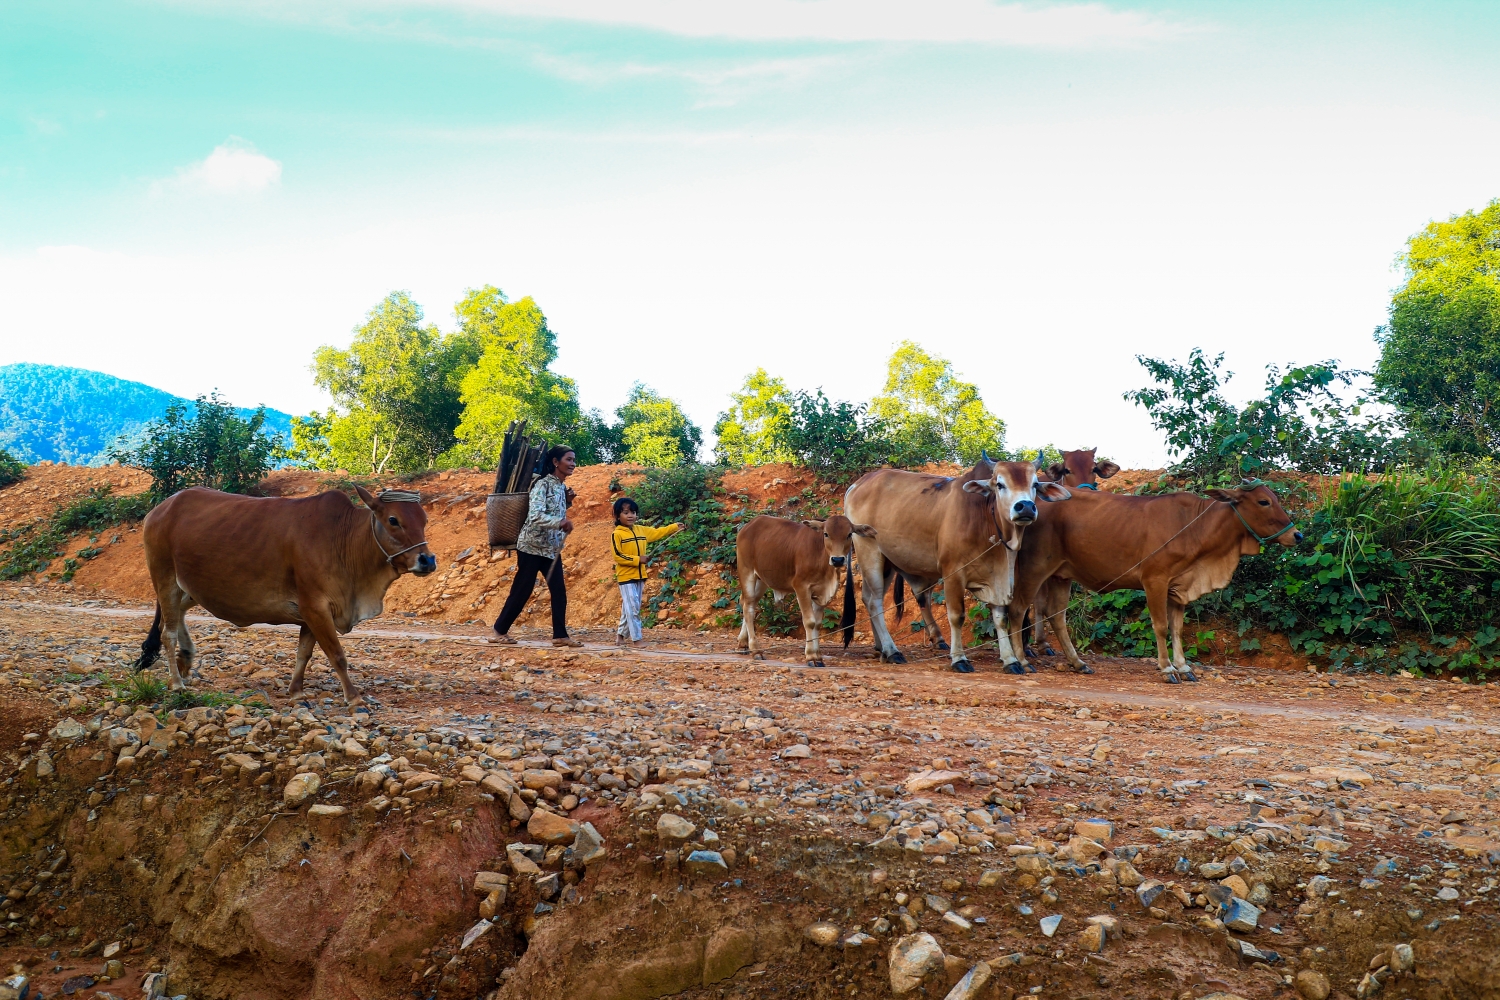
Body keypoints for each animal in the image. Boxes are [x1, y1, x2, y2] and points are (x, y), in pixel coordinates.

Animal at [131, 485, 438, 704]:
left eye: (424, 519)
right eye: (393, 519)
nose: (427, 560)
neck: (343, 539)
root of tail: (161, 508)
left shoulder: (313, 612)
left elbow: (304, 653)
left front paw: (297, 692)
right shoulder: (315, 607)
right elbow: (336, 654)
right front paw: (354, 698)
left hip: (191, 587)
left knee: (175, 616)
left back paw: (186, 659)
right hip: (164, 577)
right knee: (167, 632)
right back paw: (177, 683)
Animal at [846, 458, 1068, 677]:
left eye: (1035, 484)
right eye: (999, 484)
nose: (1026, 507)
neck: (986, 519)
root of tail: (858, 483)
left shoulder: (1000, 579)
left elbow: (1000, 619)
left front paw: (1010, 661)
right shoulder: (953, 573)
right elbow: (956, 616)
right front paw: (959, 659)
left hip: (887, 562)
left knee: (869, 598)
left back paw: (881, 648)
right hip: (869, 551)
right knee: (874, 602)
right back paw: (892, 650)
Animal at [1008, 479, 1302, 683]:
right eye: (1263, 502)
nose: (1297, 535)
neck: (1194, 527)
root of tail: (1033, 502)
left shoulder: (1178, 588)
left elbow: (1177, 629)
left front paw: (1184, 667)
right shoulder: (1155, 581)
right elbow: (1160, 627)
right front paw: (1167, 668)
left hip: (1061, 575)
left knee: (1056, 616)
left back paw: (1077, 663)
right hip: (1034, 569)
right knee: (1018, 610)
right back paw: (1020, 661)